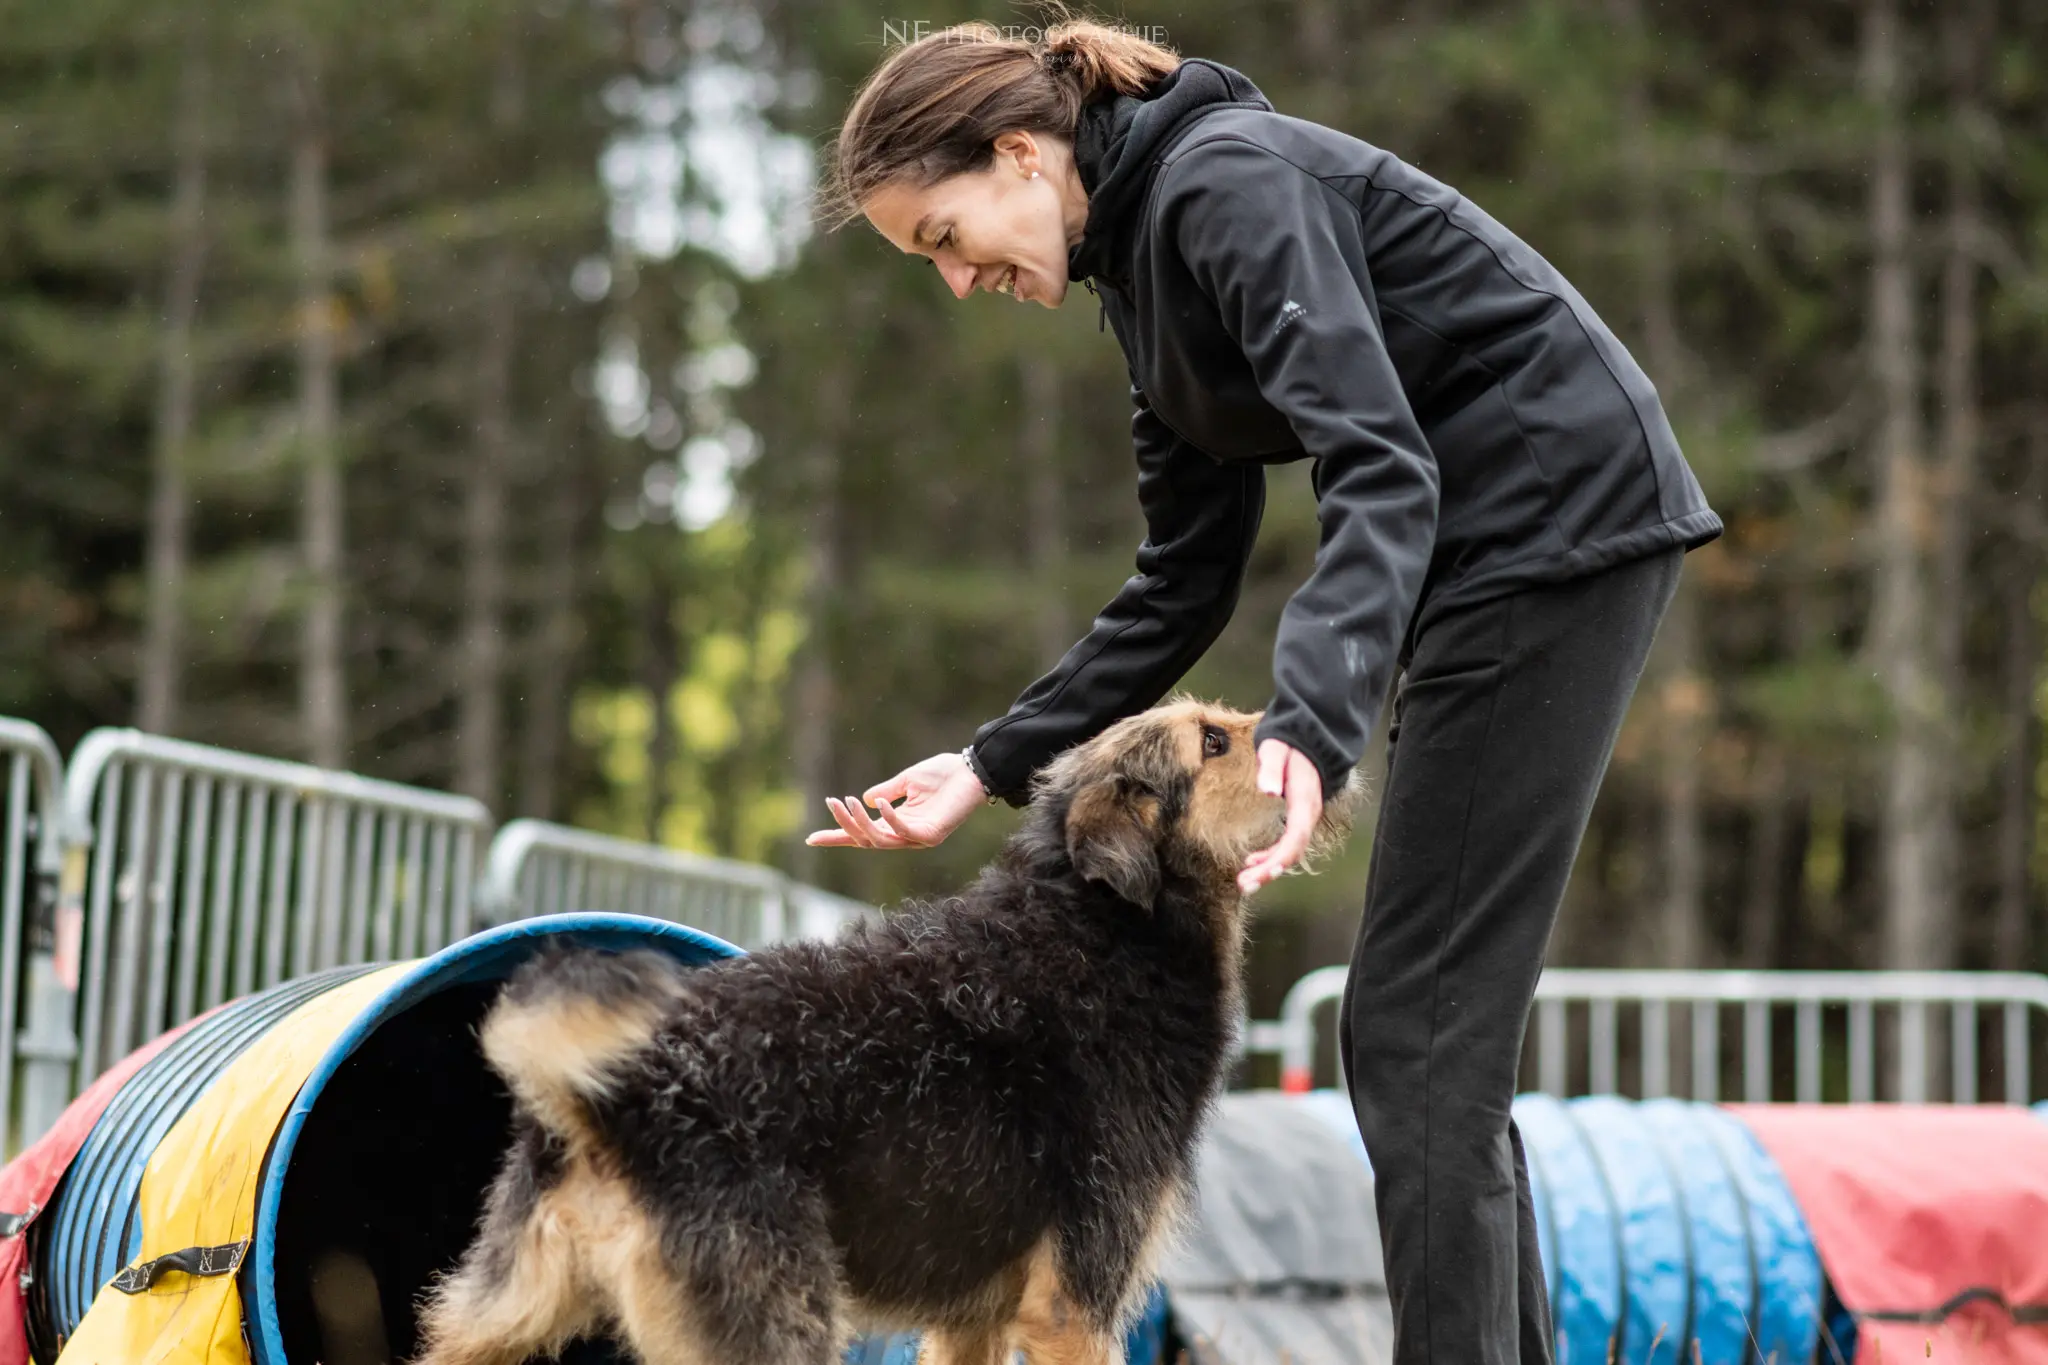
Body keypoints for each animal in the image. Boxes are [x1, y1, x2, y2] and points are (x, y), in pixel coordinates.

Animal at [407, 699, 1351, 1365]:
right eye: (1215, 742)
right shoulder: (1074, 1302)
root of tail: (619, 1095)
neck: (1103, 927)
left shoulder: (975, 1317)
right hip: (776, 1326)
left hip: (494, 1318)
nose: (1329, 750)